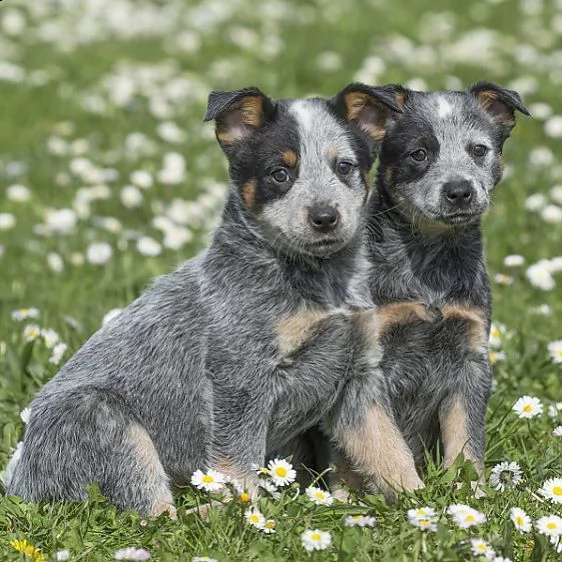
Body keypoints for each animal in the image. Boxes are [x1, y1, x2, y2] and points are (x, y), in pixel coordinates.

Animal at [2, 82, 410, 512]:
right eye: (279, 174)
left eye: (344, 167)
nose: (325, 217)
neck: (320, 281)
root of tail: (20, 481)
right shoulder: (241, 377)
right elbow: (238, 462)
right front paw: (243, 511)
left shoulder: (358, 373)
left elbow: (389, 447)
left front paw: (419, 499)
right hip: (101, 418)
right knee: (150, 511)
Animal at [282, 80, 528, 494]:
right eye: (419, 154)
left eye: (478, 150)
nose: (459, 190)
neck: (428, 271)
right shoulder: (368, 358)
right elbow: (365, 441)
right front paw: (352, 497)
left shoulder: (470, 356)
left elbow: (465, 441)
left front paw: (471, 493)